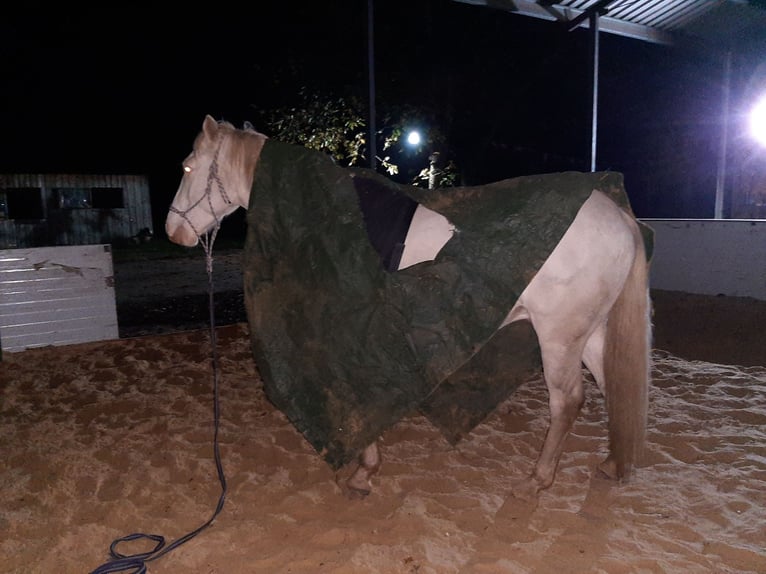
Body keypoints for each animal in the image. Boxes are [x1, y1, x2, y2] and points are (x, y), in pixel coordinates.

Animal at [168, 115, 656, 502]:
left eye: (188, 166)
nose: (174, 232)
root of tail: (618, 216)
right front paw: (368, 467)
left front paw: (362, 471)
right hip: (591, 333)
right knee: (612, 385)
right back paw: (612, 464)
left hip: (559, 336)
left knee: (567, 401)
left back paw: (537, 480)